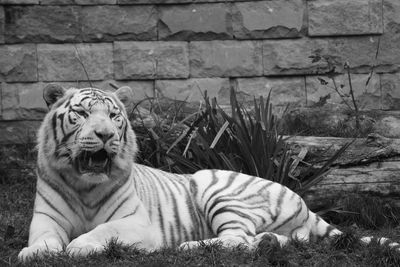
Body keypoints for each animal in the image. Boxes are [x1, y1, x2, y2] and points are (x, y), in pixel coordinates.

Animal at [18, 84, 400, 262]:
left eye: (114, 116)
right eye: (82, 114)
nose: (105, 135)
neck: (84, 186)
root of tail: (303, 202)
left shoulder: (136, 223)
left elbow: (100, 232)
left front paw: (77, 247)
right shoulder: (46, 218)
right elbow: (43, 239)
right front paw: (35, 253)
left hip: (217, 190)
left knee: (237, 239)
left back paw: (188, 246)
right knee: (273, 241)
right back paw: (268, 242)